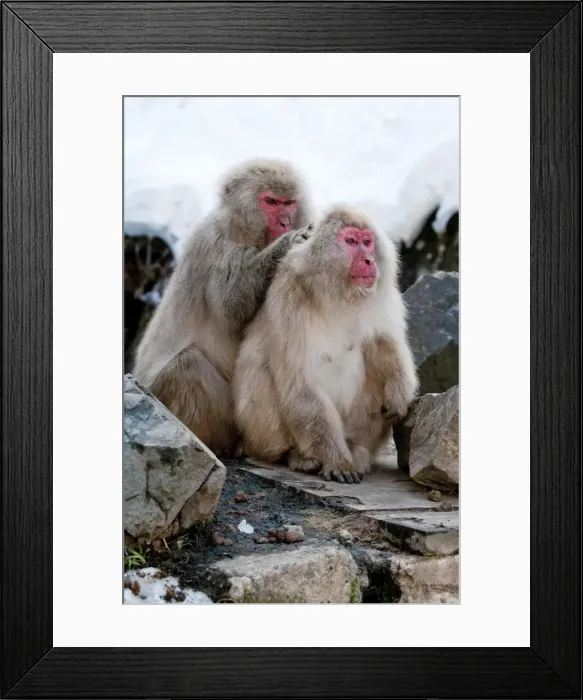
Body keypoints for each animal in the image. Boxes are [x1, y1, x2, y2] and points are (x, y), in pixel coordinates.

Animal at [132, 159, 312, 456]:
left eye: (288, 203)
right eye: (271, 202)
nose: (285, 222)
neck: (243, 232)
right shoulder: (216, 247)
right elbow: (231, 309)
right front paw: (288, 244)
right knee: (186, 367)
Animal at [233, 207, 418, 483]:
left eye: (367, 242)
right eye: (350, 241)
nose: (369, 261)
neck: (337, 294)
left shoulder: (381, 295)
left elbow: (383, 342)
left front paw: (400, 392)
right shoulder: (288, 299)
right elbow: (300, 382)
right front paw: (337, 461)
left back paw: (356, 449)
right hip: (260, 434)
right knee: (262, 376)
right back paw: (298, 457)